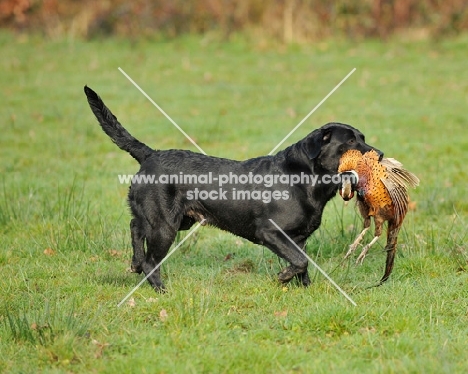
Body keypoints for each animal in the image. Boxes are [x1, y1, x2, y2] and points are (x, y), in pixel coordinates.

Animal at [84, 86, 382, 290]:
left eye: (363, 137)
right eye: (351, 142)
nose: (379, 154)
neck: (304, 178)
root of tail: (150, 154)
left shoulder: (299, 238)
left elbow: (302, 263)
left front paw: (304, 289)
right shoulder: (270, 231)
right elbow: (300, 262)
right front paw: (283, 277)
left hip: (172, 220)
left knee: (135, 226)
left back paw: (134, 263)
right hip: (165, 225)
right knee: (150, 259)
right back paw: (160, 289)